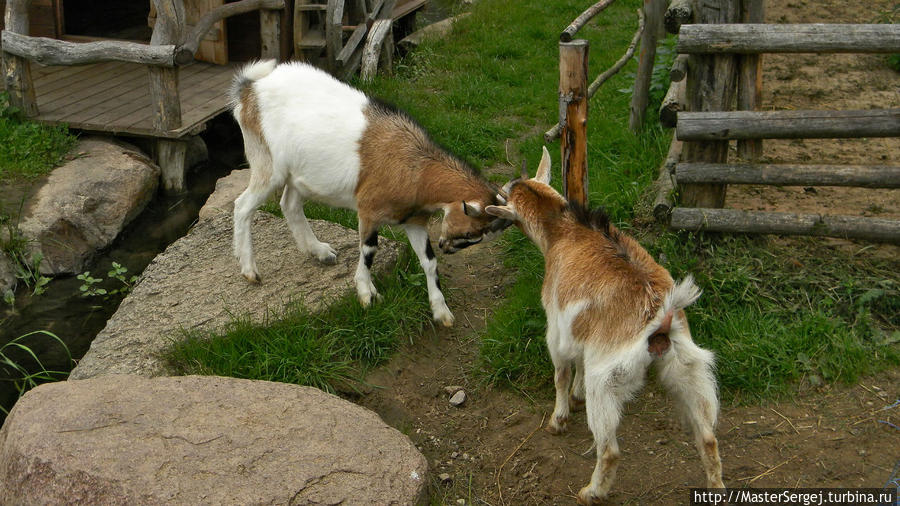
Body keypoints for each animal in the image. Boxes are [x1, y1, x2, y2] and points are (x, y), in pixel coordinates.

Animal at [227, 61, 506, 326]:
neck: (416, 169)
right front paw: (365, 293)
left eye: (476, 237)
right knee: (243, 205)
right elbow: (370, 249)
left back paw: (319, 252)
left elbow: (429, 260)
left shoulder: (414, 220)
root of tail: (249, 89)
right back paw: (249, 270)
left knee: (289, 204)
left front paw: (441, 311)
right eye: (469, 232)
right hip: (267, 163)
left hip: (300, 174)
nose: (447, 247)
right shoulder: (369, 210)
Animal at [486, 146, 724, 502]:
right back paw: (716, 487)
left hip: (608, 381)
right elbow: (579, 366)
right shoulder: (584, 336)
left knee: (609, 449)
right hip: (687, 366)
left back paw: (591, 492)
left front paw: (559, 418)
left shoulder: (556, 329)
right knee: (707, 437)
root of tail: (661, 314)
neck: (564, 231)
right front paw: (576, 396)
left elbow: (561, 374)